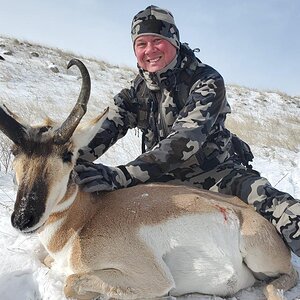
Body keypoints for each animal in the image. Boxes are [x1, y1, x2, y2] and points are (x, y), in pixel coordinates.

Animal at [0, 59, 298, 300]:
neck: (85, 217)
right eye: (15, 151)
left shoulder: (152, 278)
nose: (24, 218)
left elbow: (71, 282)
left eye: (67, 155)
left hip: (259, 257)